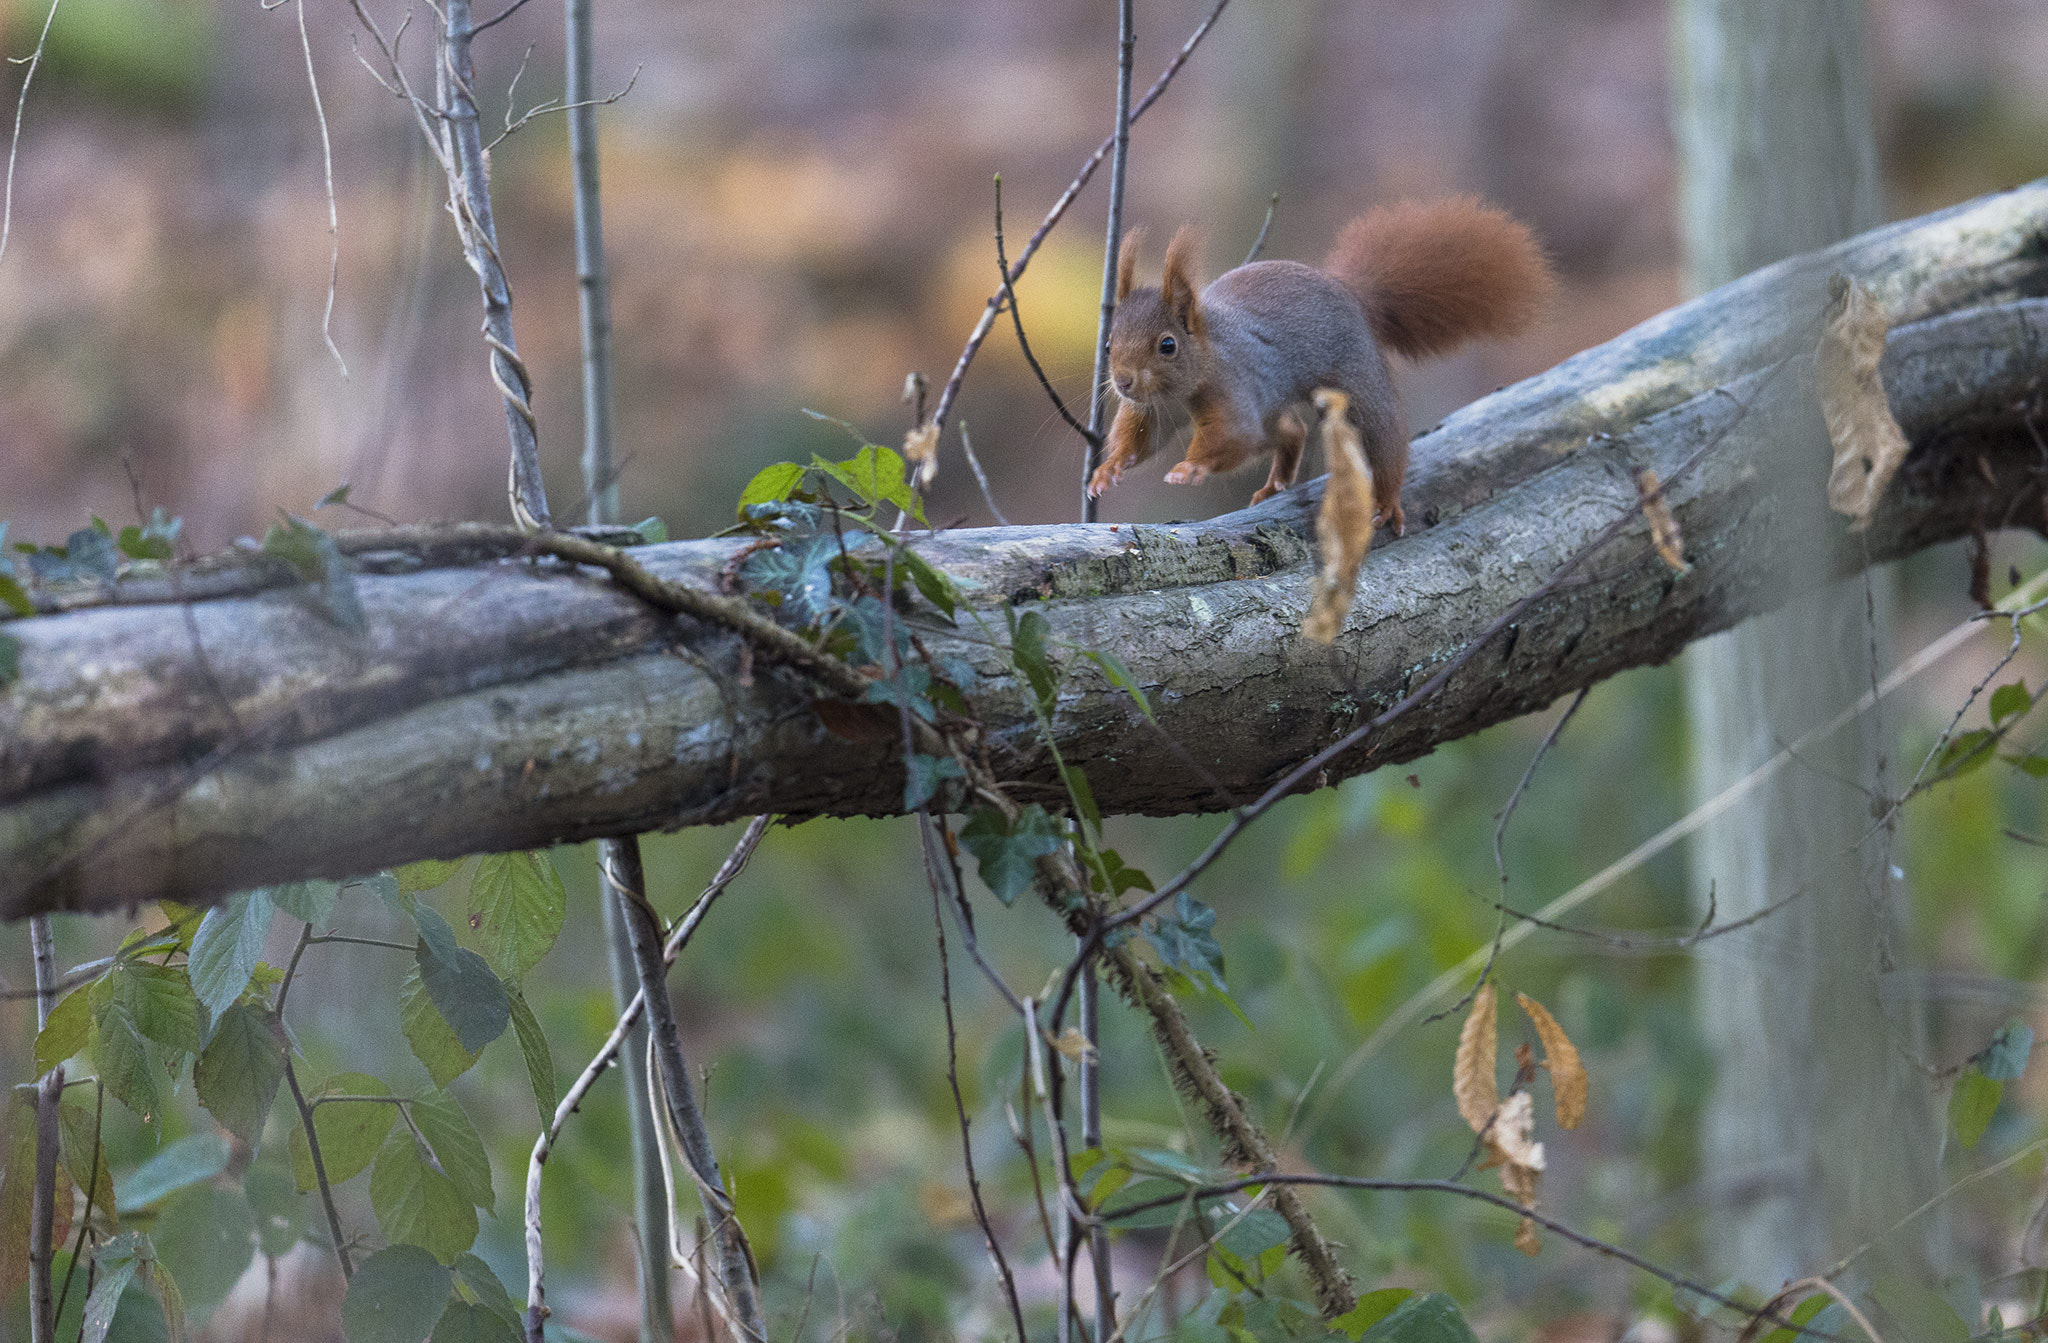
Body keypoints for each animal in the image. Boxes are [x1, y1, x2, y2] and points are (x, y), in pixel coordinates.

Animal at [1089, 199, 1548, 536]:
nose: (1124, 381)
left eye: (1167, 345)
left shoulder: (1233, 387)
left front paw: (1190, 468)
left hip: (1357, 381)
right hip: (1274, 399)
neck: (1185, 384)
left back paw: (1386, 500)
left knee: (1386, 439)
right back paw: (1274, 485)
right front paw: (1107, 472)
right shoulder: (1154, 410)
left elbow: (1234, 436)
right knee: (1292, 429)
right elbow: (1139, 442)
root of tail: (1351, 294)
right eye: (1108, 343)